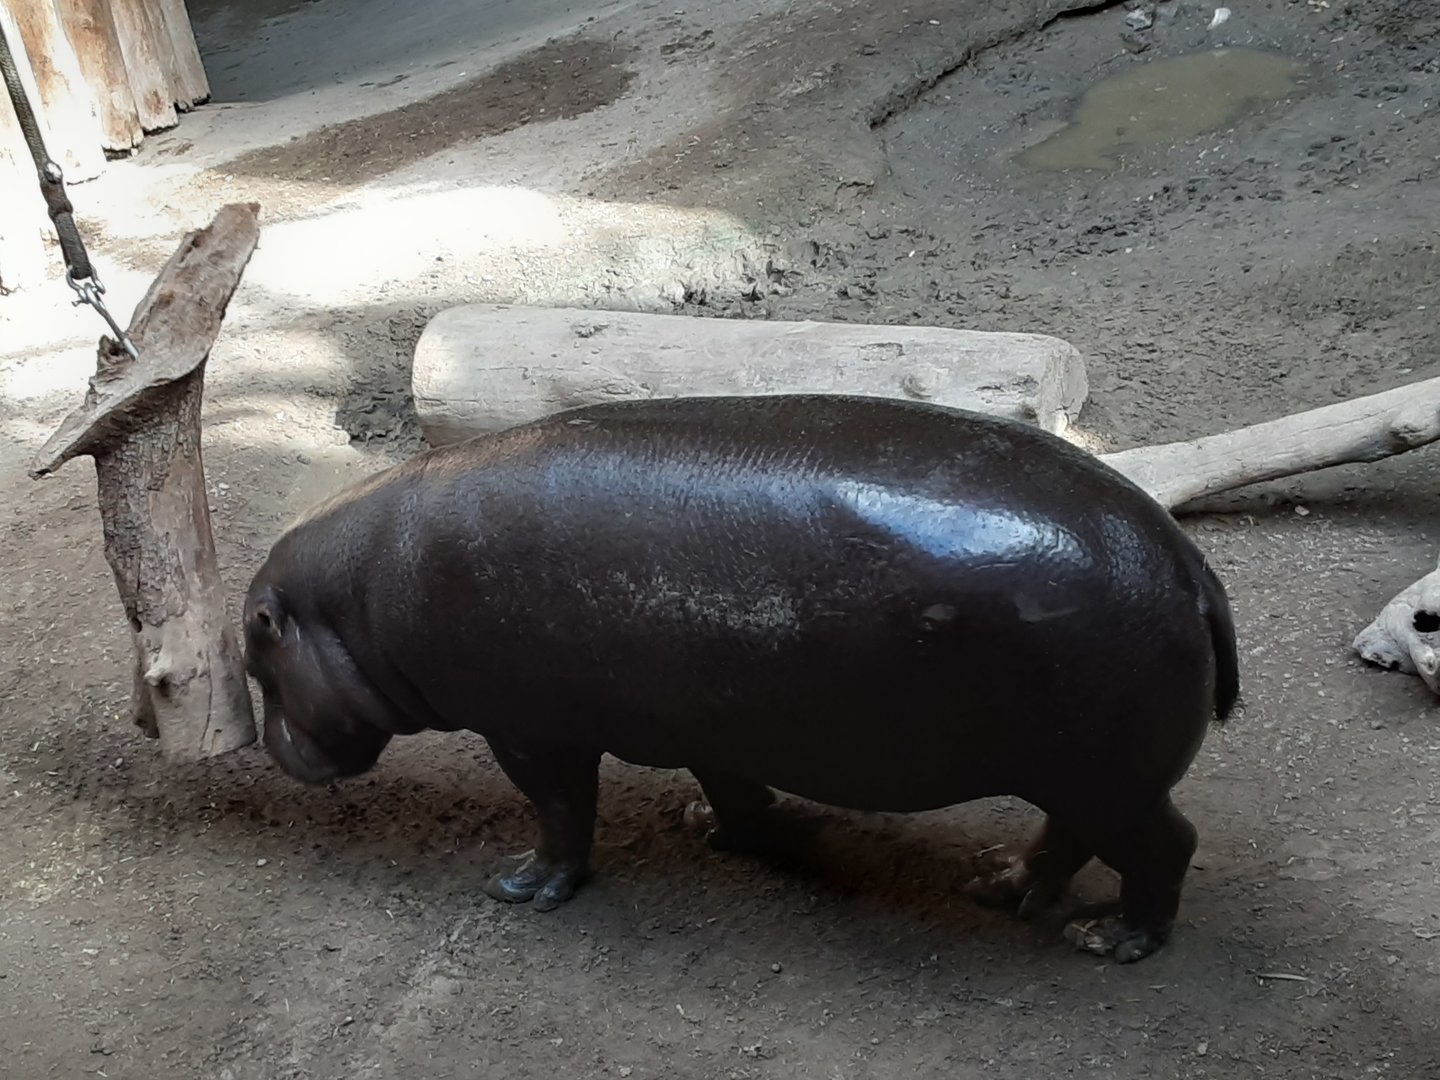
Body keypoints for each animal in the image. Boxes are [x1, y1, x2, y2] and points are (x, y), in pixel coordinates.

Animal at [242, 393, 1238, 963]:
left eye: (257, 649)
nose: (263, 747)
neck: (351, 601)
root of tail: (1186, 562)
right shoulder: (713, 714)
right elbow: (729, 783)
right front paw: (717, 829)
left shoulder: (530, 733)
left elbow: (561, 814)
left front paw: (520, 889)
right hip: (1075, 772)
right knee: (1066, 839)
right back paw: (1000, 885)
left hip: (1108, 776)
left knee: (1165, 845)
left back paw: (1112, 940)